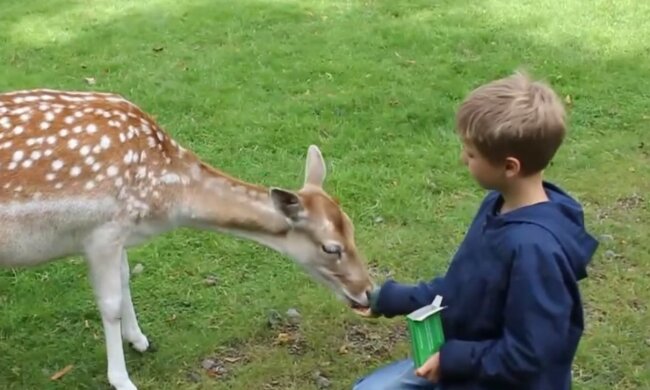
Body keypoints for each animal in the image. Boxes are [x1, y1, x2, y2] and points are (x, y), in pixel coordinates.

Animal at [0, 89, 372, 390]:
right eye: (331, 247)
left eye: (352, 227)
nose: (368, 291)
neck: (166, 198)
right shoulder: (102, 232)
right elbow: (110, 304)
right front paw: (122, 380)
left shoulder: (119, 233)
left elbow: (125, 279)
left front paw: (139, 340)